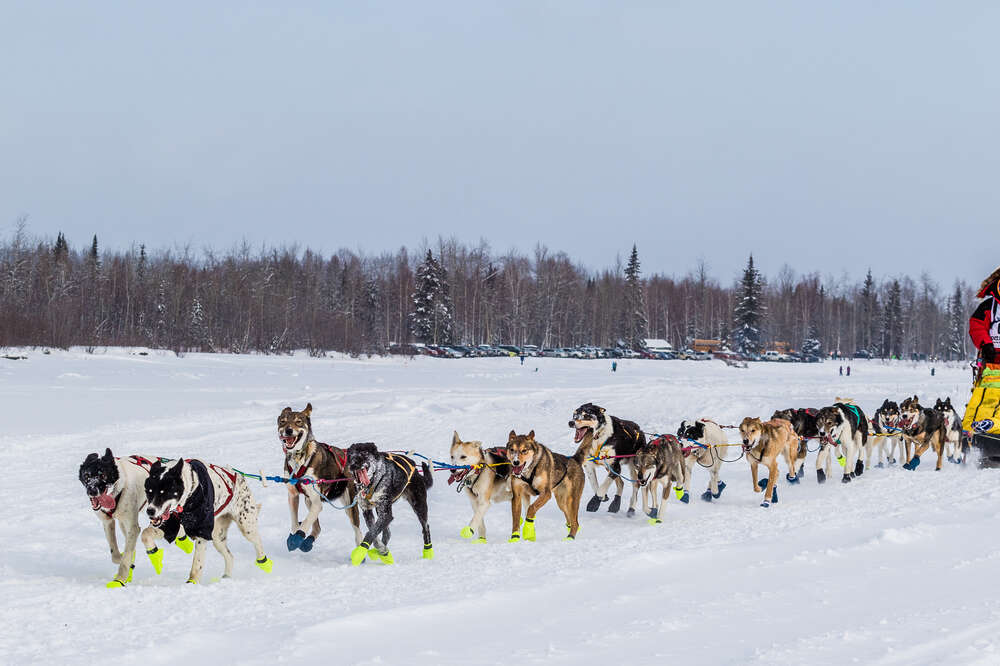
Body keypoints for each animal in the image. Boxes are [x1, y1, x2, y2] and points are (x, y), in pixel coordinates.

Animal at [78, 448, 191, 584]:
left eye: (103, 475)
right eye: (86, 476)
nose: (92, 491)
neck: (117, 492)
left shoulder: (133, 527)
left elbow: (126, 556)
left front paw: (120, 579)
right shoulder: (108, 522)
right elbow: (115, 555)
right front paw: (125, 563)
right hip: (124, 522)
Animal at [143, 456, 272, 580]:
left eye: (164, 492)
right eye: (149, 492)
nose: (150, 511)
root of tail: (239, 476)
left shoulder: (202, 531)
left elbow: (197, 565)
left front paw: (192, 583)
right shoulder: (169, 524)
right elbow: (145, 534)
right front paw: (155, 557)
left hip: (246, 526)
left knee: (258, 543)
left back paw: (265, 564)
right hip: (217, 538)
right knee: (230, 556)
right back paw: (227, 576)